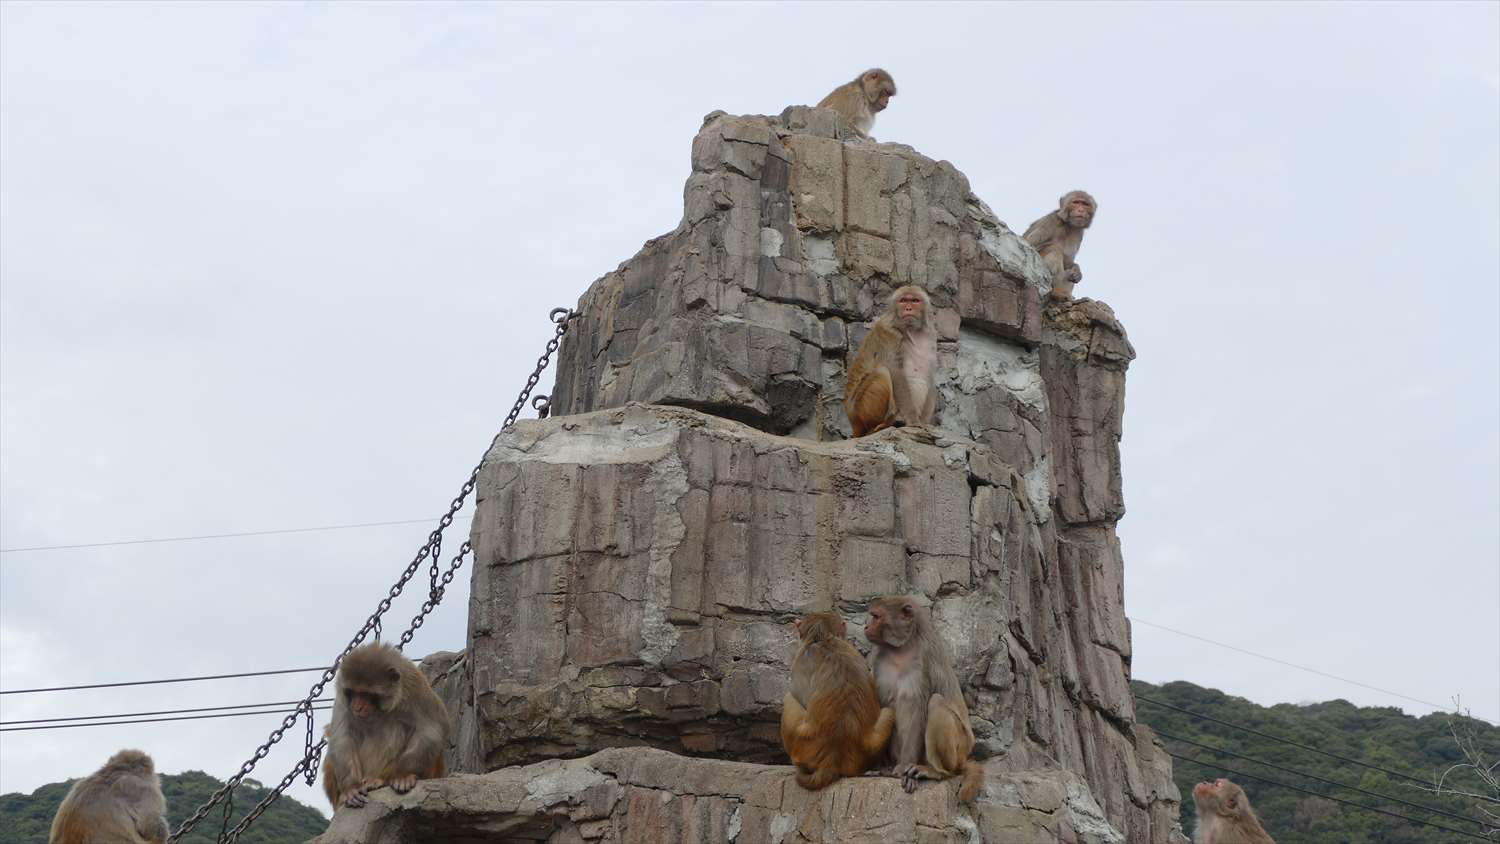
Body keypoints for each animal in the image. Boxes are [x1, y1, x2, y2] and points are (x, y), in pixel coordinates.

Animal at [321, 644, 444, 809]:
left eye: (367, 694)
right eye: (353, 692)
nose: (357, 706)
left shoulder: (415, 684)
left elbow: (429, 731)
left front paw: (402, 775)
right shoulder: (342, 694)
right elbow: (341, 736)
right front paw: (351, 788)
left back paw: (379, 780)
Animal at [786, 611, 888, 791]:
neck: (822, 637)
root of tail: (832, 758)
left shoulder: (800, 661)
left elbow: (798, 696)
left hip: (801, 747)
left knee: (789, 698)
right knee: (889, 711)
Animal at [846, 287, 936, 440]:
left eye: (915, 300)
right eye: (903, 300)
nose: (908, 308)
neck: (911, 330)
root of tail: (853, 423)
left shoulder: (930, 335)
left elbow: (929, 373)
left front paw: (924, 423)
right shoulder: (888, 333)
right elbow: (896, 372)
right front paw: (913, 421)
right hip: (860, 410)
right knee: (883, 371)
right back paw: (882, 424)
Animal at [864, 596, 990, 803]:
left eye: (876, 616)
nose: (866, 627)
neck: (901, 648)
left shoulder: (923, 659)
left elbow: (919, 710)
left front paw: (903, 767)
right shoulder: (878, 659)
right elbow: (882, 709)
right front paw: (879, 766)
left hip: (960, 747)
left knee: (936, 703)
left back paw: (937, 772)